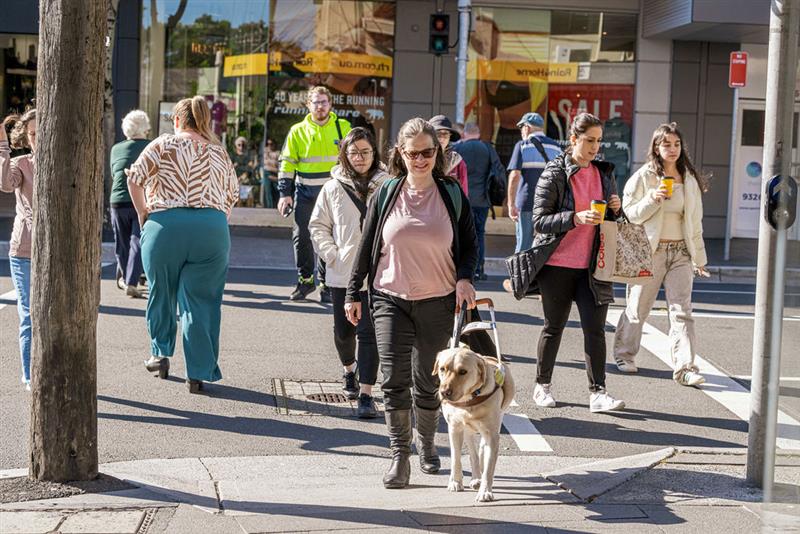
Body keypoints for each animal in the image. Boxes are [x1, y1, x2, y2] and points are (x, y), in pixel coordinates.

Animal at [434, 300, 516, 504]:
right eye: (442, 369)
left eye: (463, 372)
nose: (444, 392)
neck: (469, 401)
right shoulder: (454, 428)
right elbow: (456, 458)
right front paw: (455, 482)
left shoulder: (492, 434)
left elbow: (489, 467)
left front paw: (485, 491)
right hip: (467, 430)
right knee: (471, 451)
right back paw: (473, 477)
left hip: (491, 425)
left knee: (480, 450)